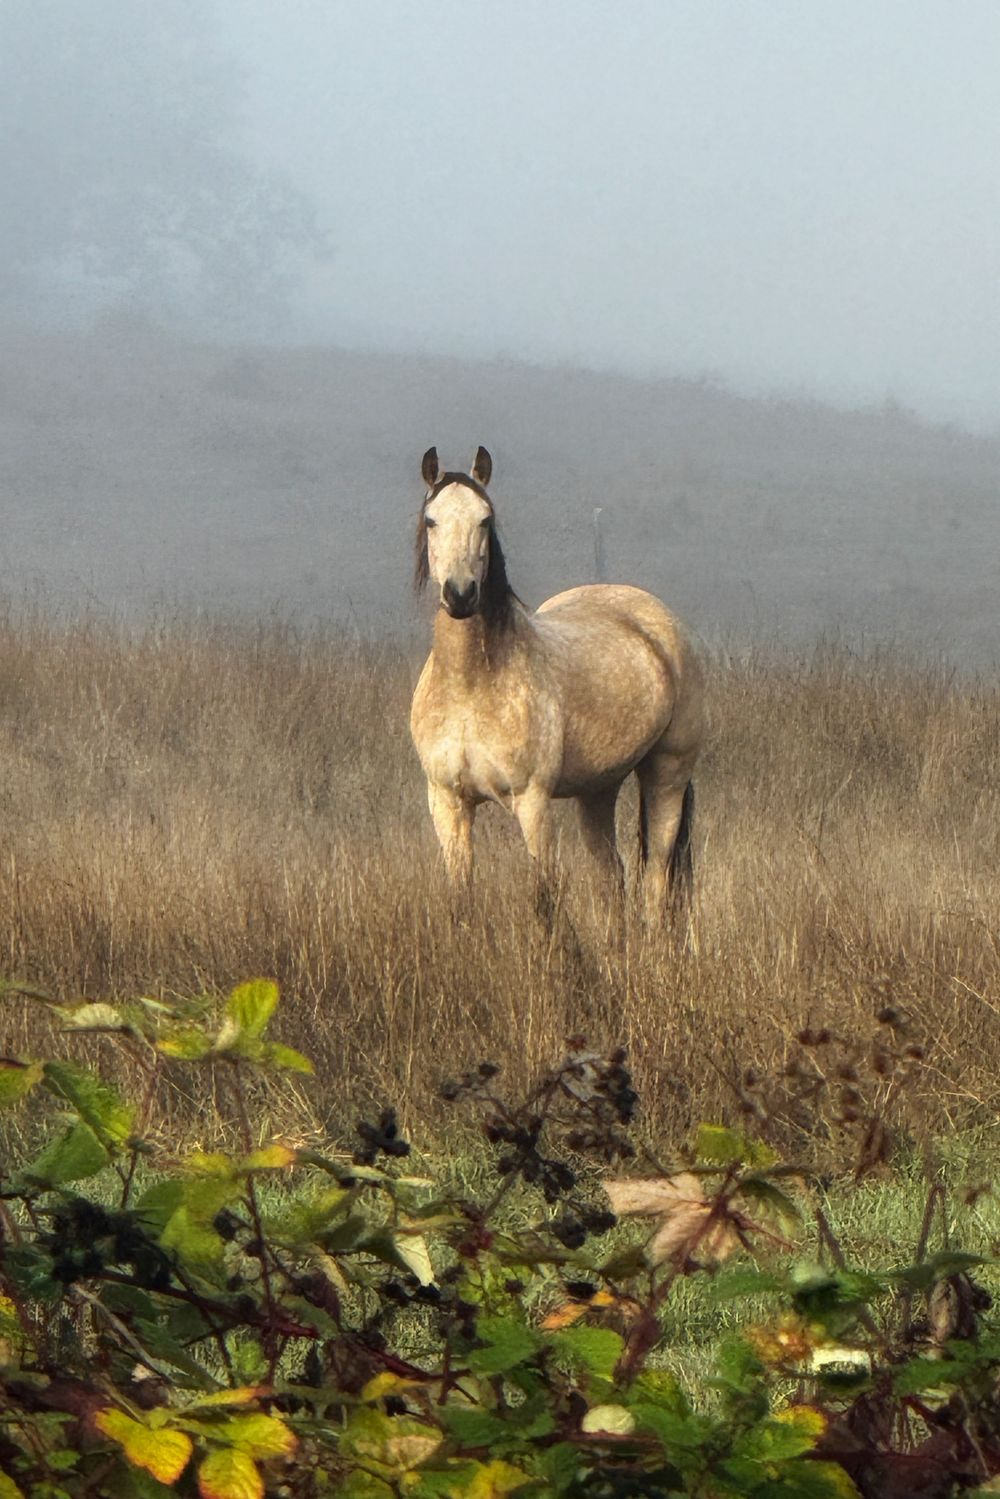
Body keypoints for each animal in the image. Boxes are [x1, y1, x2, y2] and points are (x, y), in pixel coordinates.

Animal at [409, 446, 705, 921]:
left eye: (485, 519)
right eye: (432, 520)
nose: (460, 594)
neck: (471, 687)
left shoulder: (532, 802)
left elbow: (544, 898)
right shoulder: (448, 802)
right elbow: (461, 898)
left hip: (667, 774)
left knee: (656, 882)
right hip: (598, 791)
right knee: (612, 878)